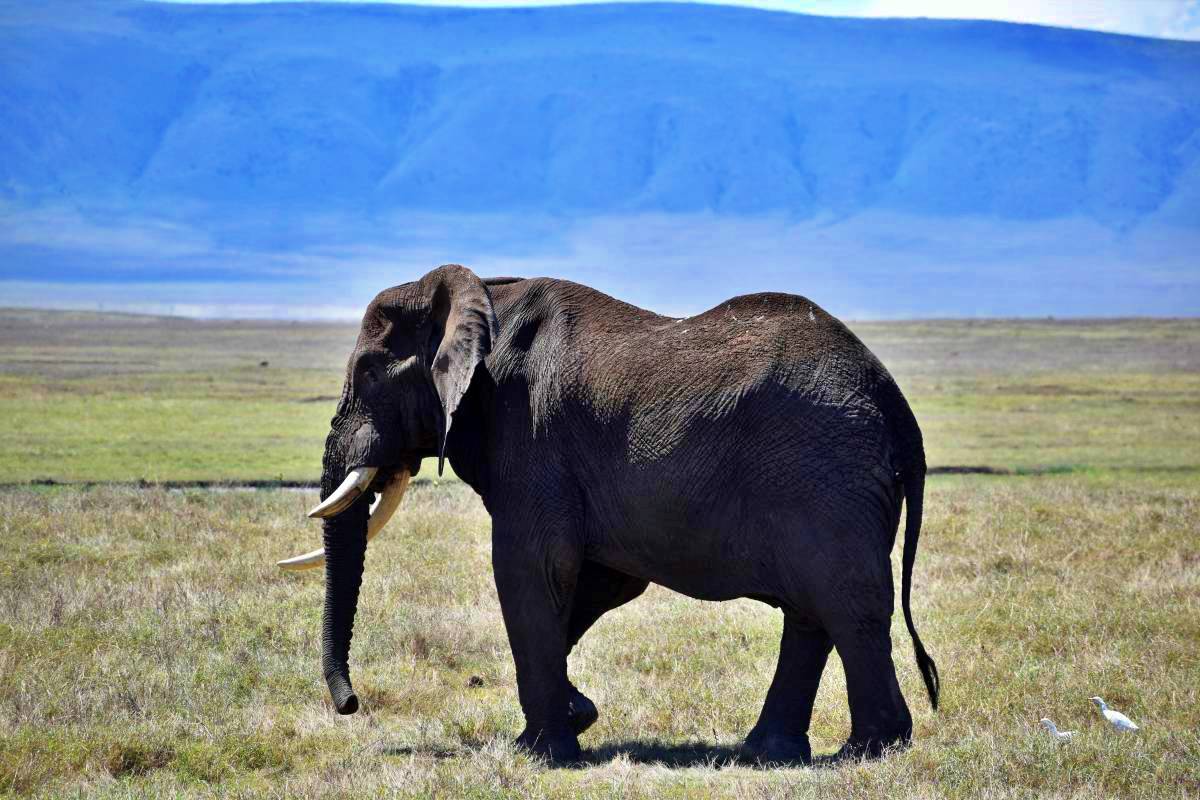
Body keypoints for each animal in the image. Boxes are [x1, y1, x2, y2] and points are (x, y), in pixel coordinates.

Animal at [278, 262, 936, 762]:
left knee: (846, 603)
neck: (484, 291)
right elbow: (600, 581)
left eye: (368, 373)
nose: (351, 704)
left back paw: (866, 751)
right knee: (812, 611)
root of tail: (895, 401)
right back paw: (768, 753)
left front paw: (541, 752)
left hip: (828, 477)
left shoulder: (531, 433)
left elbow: (532, 569)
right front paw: (577, 716)